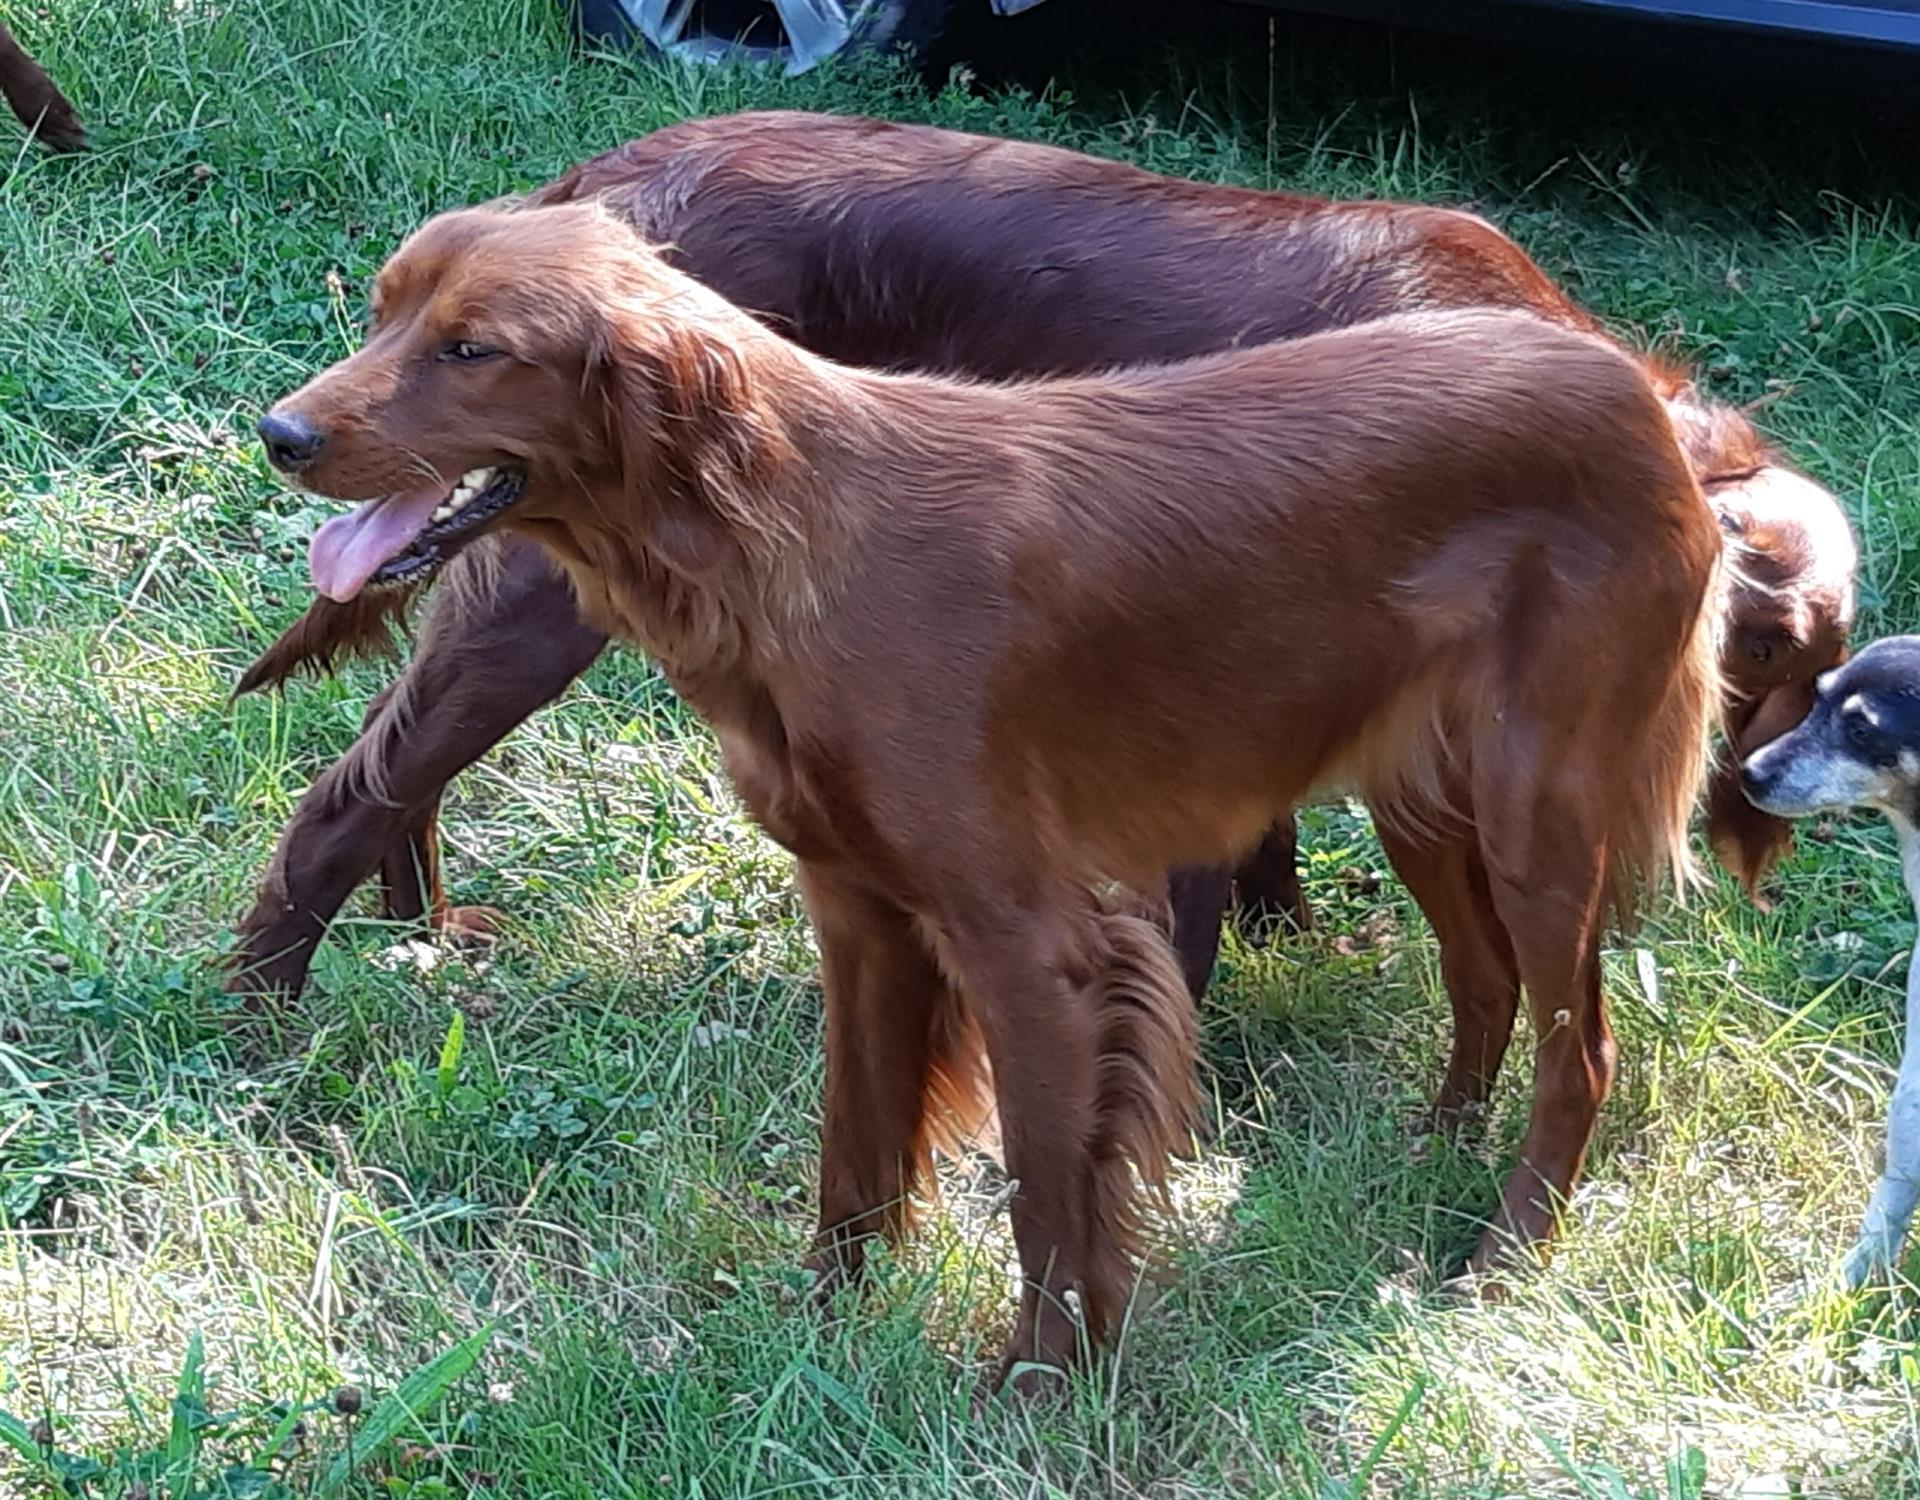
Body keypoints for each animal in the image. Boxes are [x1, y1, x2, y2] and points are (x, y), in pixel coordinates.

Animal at [232, 114, 1850, 1021]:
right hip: (543, 601)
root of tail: (605, 183)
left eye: (1823, 668)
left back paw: (424, 939)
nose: (1752, 806)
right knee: (352, 789)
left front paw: (1285, 930)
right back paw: (266, 1017)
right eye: (1764, 659)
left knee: (397, 767)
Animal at [259, 198, 1728, 1382]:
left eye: (472, 348)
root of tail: (1642, 397)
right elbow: (853, 1155)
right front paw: (818, 1340)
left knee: (1580, 1046)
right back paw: (1431, 1151)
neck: (797, 539)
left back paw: (1503, 1253)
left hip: (1539, 811)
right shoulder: (858, 912)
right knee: (1480, 979)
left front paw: (1038, 1390)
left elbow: (1044, 1194)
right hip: (1421, 792)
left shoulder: (1036, 946)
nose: (281, 433)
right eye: (385, 309)